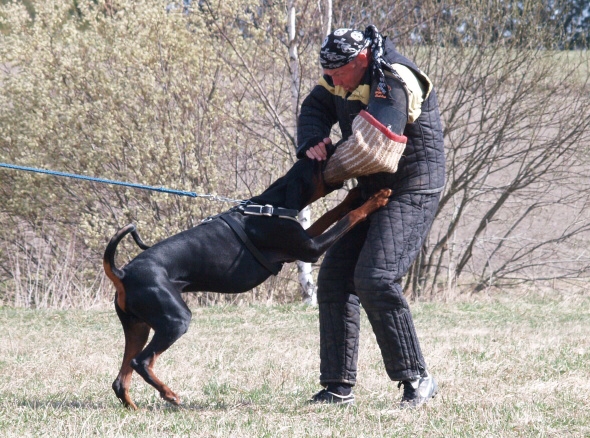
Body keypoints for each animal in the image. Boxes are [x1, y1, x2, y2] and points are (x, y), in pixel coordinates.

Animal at [105, 158, 394, 410]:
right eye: (317, 162)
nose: (331, 145)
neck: (271, 206)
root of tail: (122, 273)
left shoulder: (303, 241)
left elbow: (334, 213)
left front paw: (353, 195)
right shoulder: (311, 249)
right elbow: (350, 218)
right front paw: (376, 198)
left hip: (138, 326)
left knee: (121, 379)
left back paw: (134, 407)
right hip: (174, 320)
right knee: (141, 362)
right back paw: (170, 394)